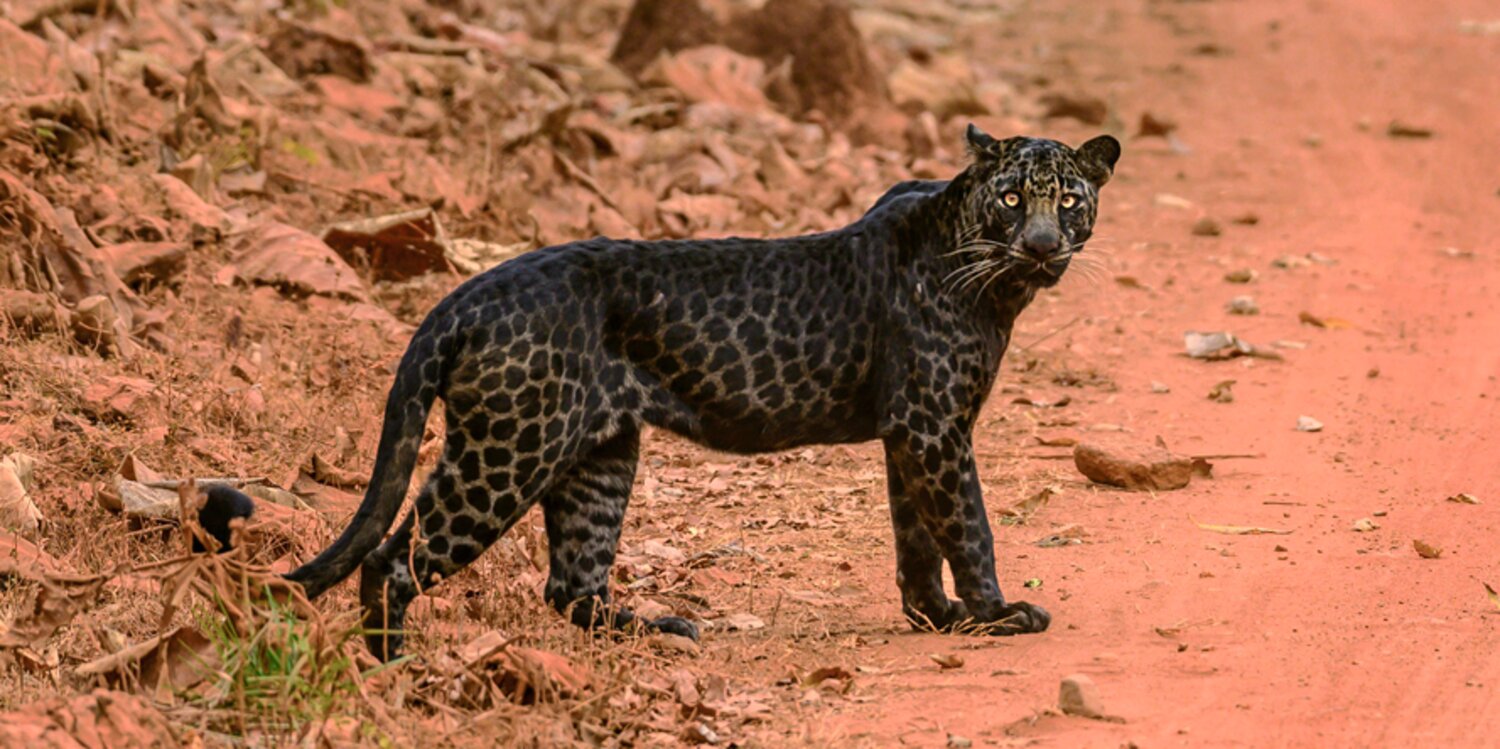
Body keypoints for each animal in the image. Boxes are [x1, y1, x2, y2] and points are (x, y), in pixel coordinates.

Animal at [199, 126, 1122, 660]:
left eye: (1069, 199)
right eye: (1013, 197)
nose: (1044, 244)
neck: (993, 276)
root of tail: (466, 295)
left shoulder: (911, 433)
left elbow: (916, 534)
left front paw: (939, 616)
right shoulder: (934, 426)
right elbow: (967, 521)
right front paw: (996, 613)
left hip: (600, 454)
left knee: (570, 586)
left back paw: (663, 629)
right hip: (507, 452)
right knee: (394, 558)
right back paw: (400, 668)